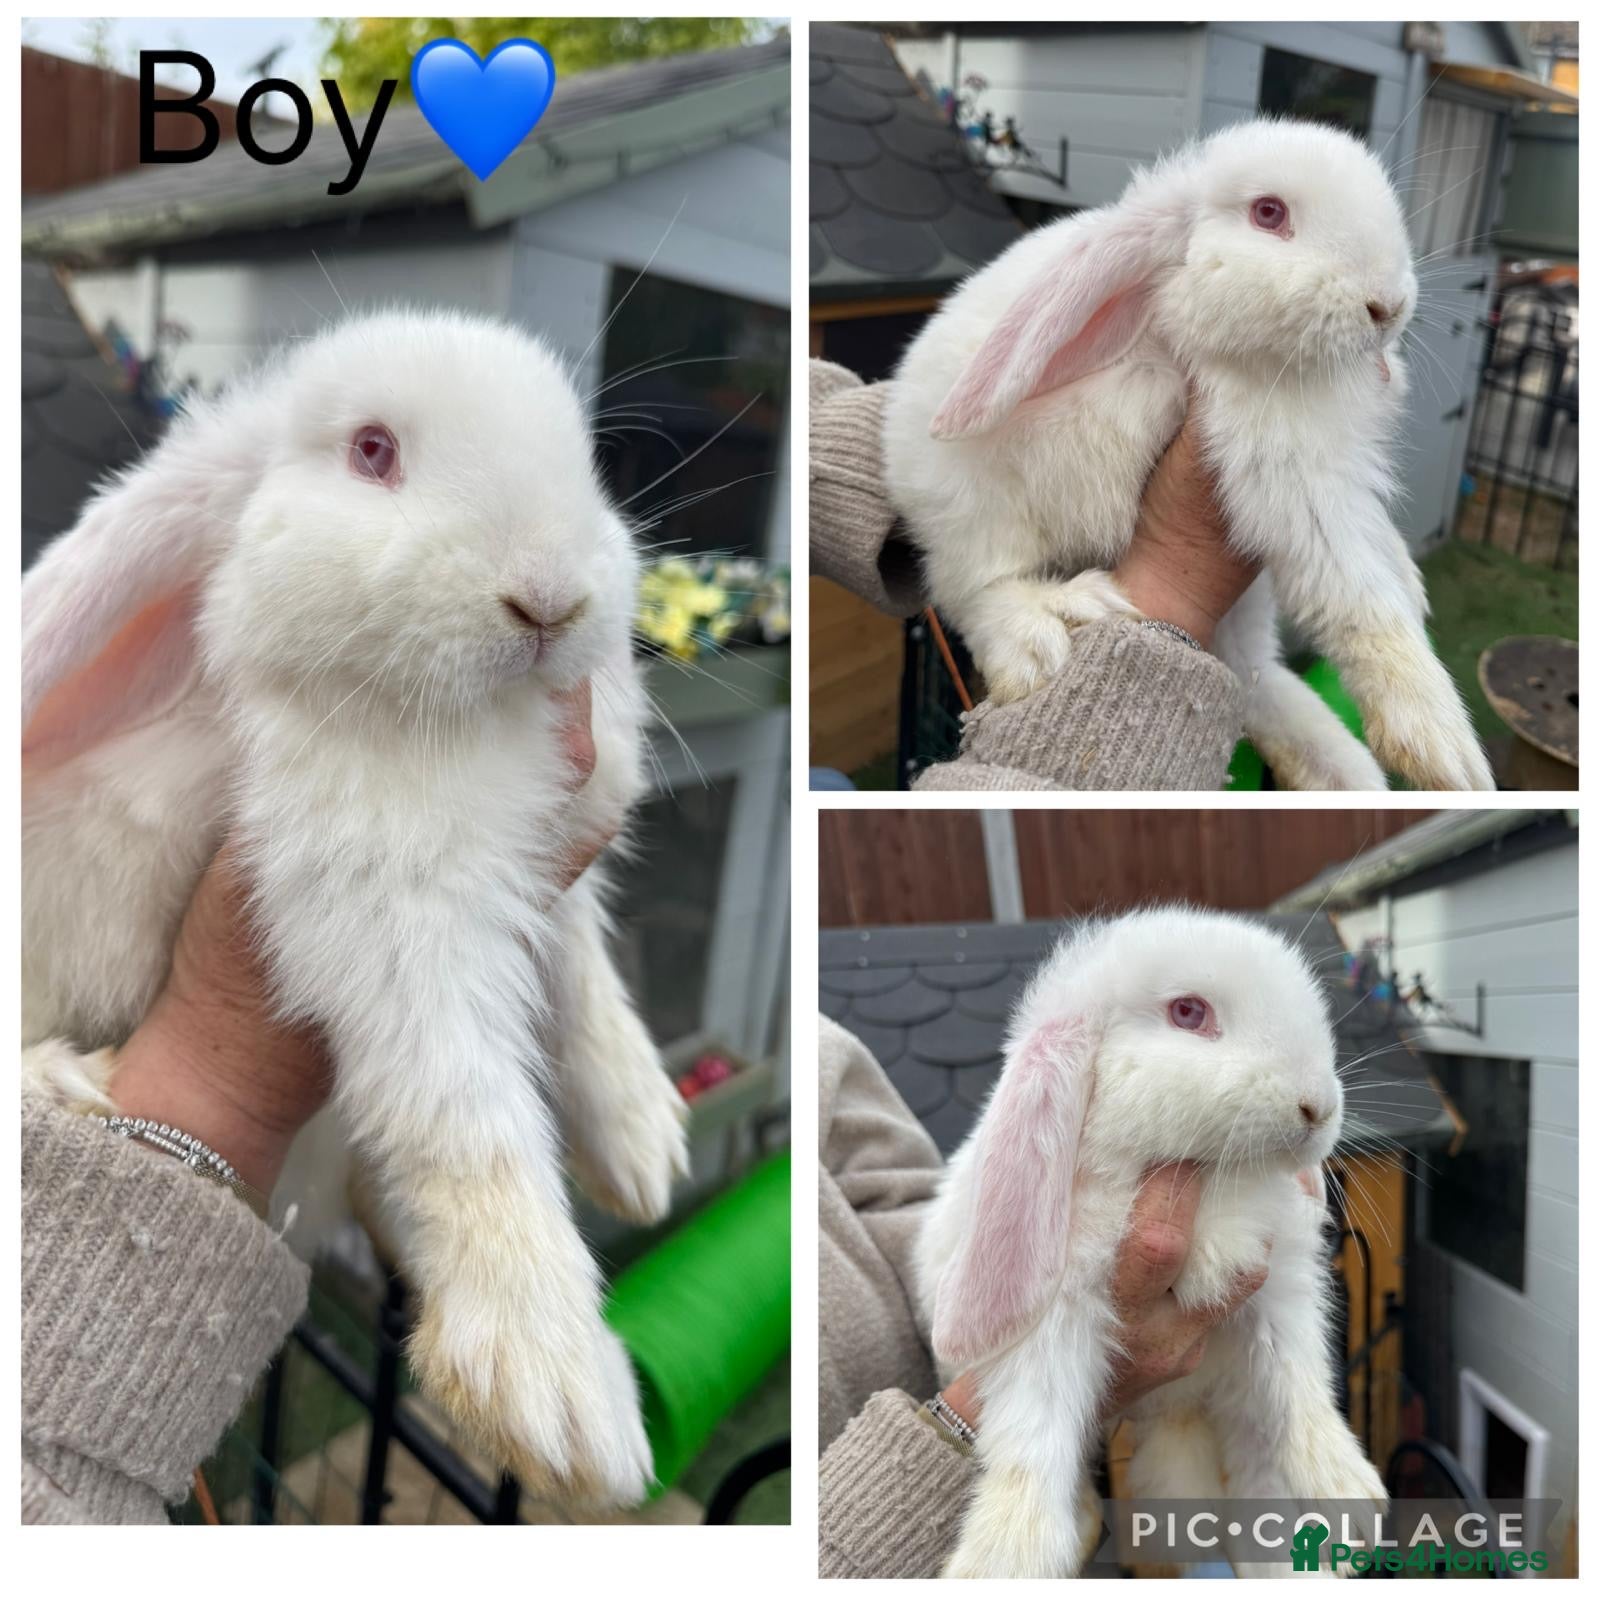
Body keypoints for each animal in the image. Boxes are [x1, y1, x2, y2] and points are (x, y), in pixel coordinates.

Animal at [21, 308, 692, 1508]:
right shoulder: (389, 909)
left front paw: (639, 1143)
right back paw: (62, 1083)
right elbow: (464, 1113)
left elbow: (579, 983)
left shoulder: (551, 871)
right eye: (372, 451)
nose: (550, 598)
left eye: (584, 457)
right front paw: (556, 1385)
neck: (468, 722)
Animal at [884, 117, 1494, 792]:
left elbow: (1379, 552)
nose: (1388, 307)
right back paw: (1042, 631)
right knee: (972, 591)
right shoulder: (1289, 479)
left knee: (1256, 685)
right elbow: (1359, 598)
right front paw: (1442, 747)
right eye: (1268, 213)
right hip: (978, 518)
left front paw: (1412, 581)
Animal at [915, 908, 1387, 1578]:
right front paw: (1003, 1559)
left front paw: (1350, 1491)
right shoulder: (1053, 1322)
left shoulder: (1280, 1292)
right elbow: (1034, 1431)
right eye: (1188, 1012)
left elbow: (1299, 1384)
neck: (1205, 1183)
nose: (1317, 1108)